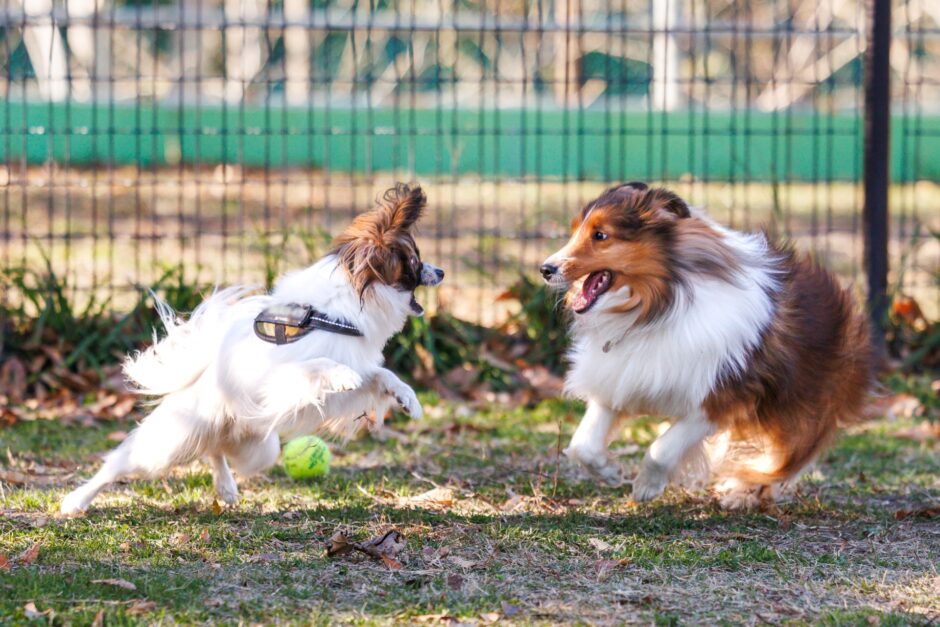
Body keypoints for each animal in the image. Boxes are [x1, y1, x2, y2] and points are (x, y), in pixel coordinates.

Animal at [63, 185, 444, 516]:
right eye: (414, 263)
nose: (441, 270)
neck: (329, 315)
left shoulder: (349, 380)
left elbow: (382, 374)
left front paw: (407, 398)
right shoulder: (277, 380)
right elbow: (318, 365)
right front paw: (341, 374)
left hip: (259, 449)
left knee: (214, 449)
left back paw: (226, 487)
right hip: (169, 445)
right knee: (121, 464)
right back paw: (76, 500)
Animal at [544, 184, 872, 508]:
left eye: (600, 235)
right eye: (574, 231)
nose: (545, 269)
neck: (654, 308)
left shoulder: (715, 399)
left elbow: (662, 449)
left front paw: (647, 486)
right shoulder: (620, 378)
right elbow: (583, 444)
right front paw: (609, 472)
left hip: (800, 407)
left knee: (781, 461)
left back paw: (744, 492)